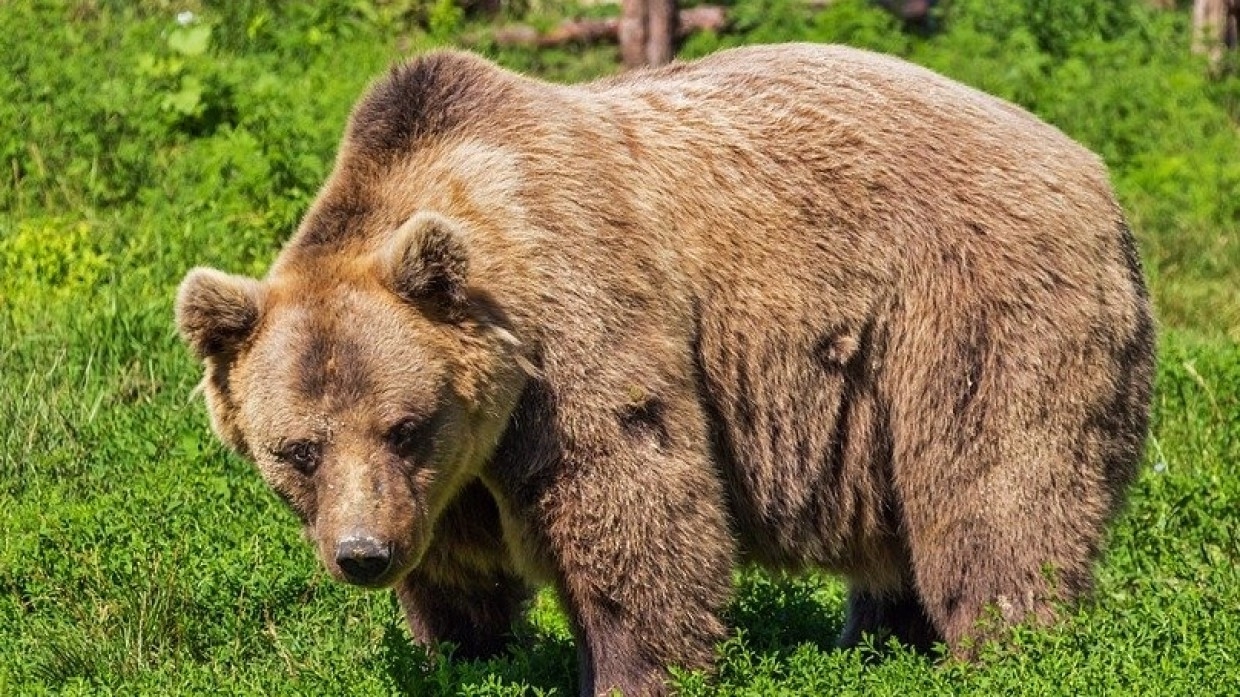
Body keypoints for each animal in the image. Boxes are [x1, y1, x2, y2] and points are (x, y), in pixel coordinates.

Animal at [174, 44, 1150, 694]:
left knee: (996, 495)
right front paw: (462, 647)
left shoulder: (579, 330)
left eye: (404, 426)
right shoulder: (452, 478)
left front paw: (633, 668)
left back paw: (1006, 645)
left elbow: (632, 503)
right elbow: (458, 572)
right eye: (297, 449)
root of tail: (1094, 172)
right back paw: (880, 641)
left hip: (971, 313)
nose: (362, 554)